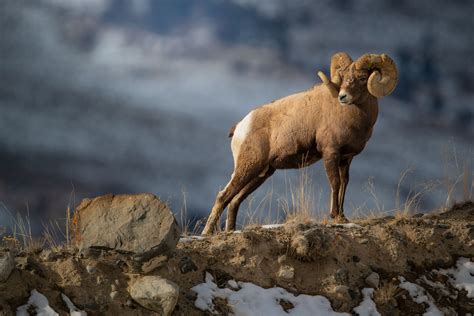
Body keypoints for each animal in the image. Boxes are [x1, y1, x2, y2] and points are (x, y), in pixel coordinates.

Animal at [202, 52, 398, 235]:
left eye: (363, 78)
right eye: (343, 77)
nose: (343, 97)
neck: (353, 117)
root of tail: (240, 126)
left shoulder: (346, 159)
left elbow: (344, 183)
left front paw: (343, 217)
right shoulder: (330, 153)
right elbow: (335, 183)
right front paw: (335, 216)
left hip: (262, 173)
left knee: (235, 201)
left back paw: (231, 231)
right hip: (248, 167)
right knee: (223, 197)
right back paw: (207, 233)